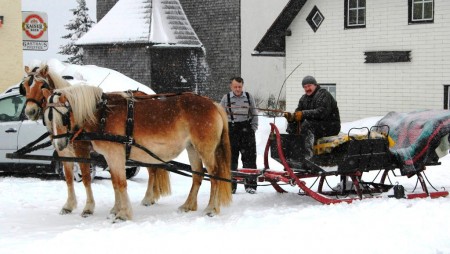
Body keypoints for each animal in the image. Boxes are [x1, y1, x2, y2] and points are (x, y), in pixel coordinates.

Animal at [19, 64, 171, 217]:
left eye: (42, 85)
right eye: (24, 87)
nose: (30, 112)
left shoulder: (82, 150)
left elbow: (86, 178)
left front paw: (89, 207)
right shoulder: (64, 152)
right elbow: (69, 178)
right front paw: (69, 205)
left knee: (152, 170)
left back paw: (148, 198)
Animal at [43, 85, 232, 220]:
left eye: (64, 117)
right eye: (48, 119)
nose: (59, 145)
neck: (102, 114)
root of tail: (213, 104)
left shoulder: (115, 154)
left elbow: (120, 183)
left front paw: (123, 214)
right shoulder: (110, 157)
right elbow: (115, 183)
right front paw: (116, 210)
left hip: (205, 149)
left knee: (214, 175)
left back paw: (211, 209)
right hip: (192, 148)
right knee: (197, 175)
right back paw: (188, 205)